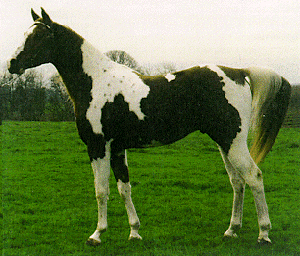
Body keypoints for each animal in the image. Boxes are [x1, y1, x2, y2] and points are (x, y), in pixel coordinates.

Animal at [8, 8, 290, 246]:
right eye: (25, 34)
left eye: (39, 36)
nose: (12, 64)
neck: (96, 81)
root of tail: (239, 72)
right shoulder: (117, 148)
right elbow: (124, 188)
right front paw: (134, 231)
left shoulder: (98, 146)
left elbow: (101, 190)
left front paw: (97, 234)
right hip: (224, 142)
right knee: (237, 181)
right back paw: (231, 230)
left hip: (233, 142)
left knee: (254, 177)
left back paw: (264, 234)